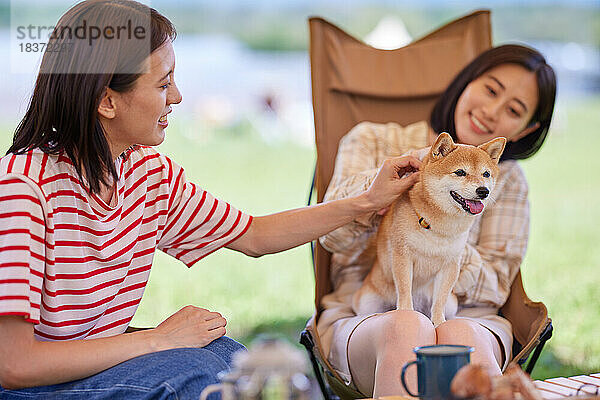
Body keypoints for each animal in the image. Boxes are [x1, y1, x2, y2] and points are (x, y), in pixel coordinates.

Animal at [352, 133, 506, 326]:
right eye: (460, 172)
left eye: (486, 174)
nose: (483, 191)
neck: (440, 226)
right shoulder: (402, 256)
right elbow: (404, 289)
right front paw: (406, 313)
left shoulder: (450, 265)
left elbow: (440, 300)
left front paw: (439, 323)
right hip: (367, 302)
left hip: (452, 304)